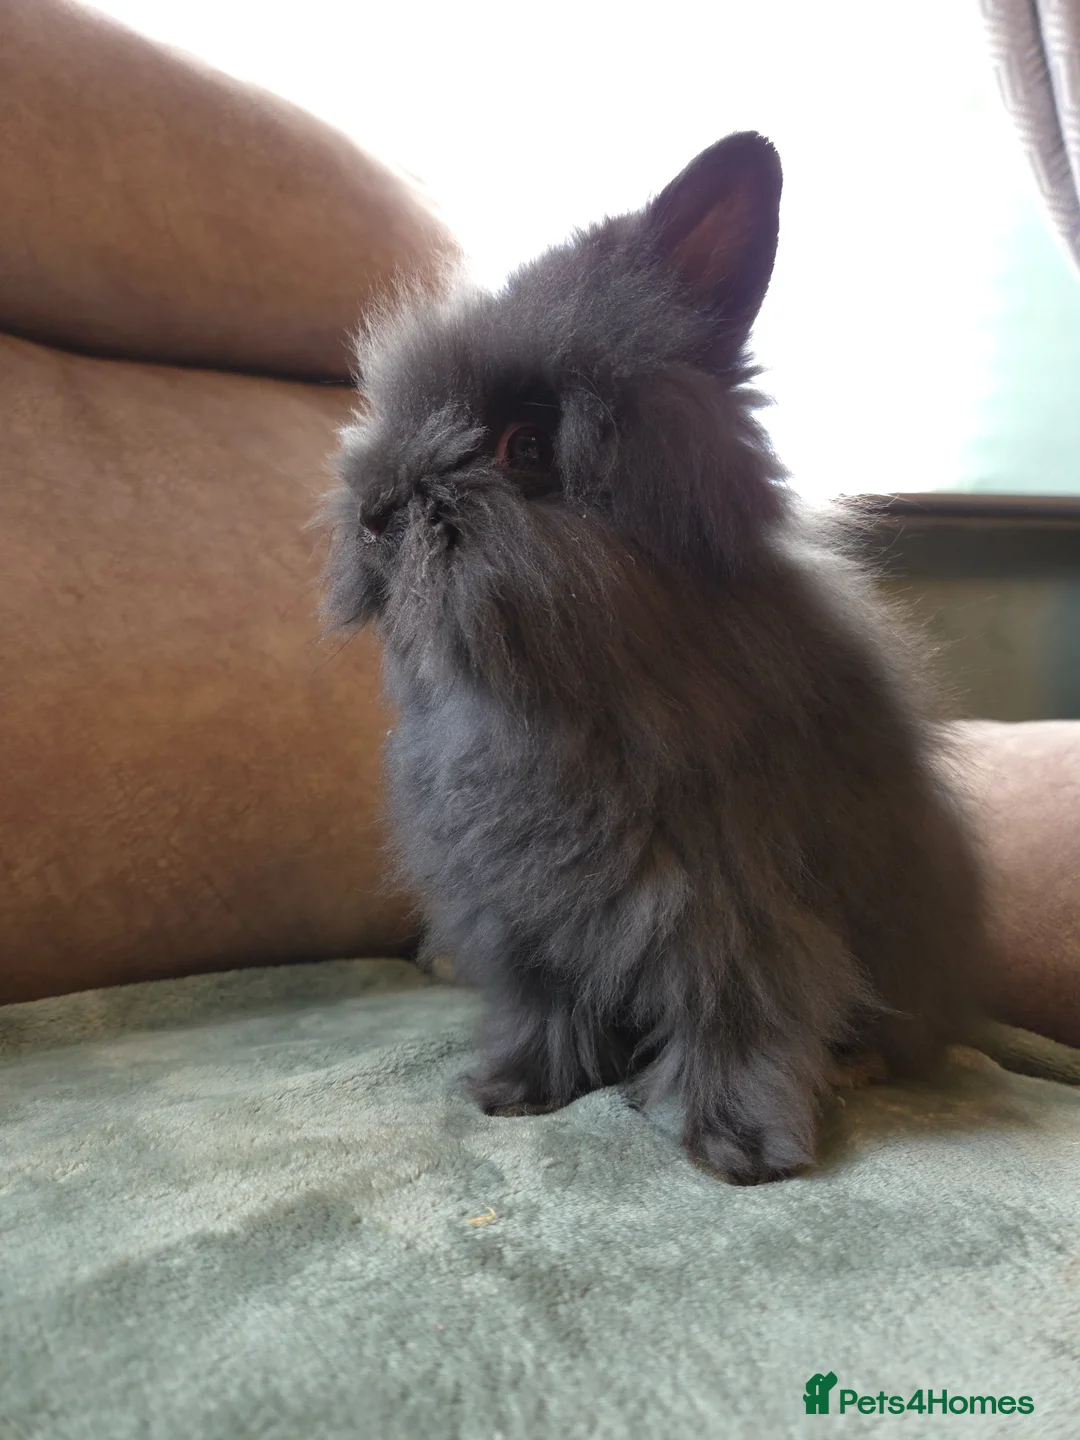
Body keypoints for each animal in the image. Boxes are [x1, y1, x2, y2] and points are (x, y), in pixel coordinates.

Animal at [321, 131, 987, 1185]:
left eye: (525, 446)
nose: (375, 514)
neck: (568, 681)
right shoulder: (526, 917)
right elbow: (546, 1007)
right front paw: (516, 1091)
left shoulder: (738, 905)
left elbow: (742, 1013)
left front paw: (741, 1149)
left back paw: (857, 1070)